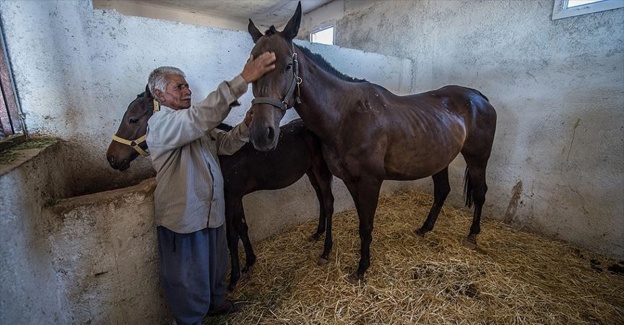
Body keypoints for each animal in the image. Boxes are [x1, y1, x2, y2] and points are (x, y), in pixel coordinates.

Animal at [106, 85, 336, 288]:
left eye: (133, 119)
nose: (112, 158)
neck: (222, 153)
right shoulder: (236, 197)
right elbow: (242, 227)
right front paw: (249, 262)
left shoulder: (231, 196)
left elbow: (232, 235)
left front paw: (234, 278)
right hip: (310, 171)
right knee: (320, 198)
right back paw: (317, 233)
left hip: (320, 169)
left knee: (328, 202)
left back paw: (325, 251)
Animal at [244, 2, 498, 280]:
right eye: (251, 69)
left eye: (289, 66)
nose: (262, 134)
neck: (346, 116)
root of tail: (479, 97)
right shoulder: (350, 180)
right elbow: (361, 220)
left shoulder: (370, 180)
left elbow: (366, 224)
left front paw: (362, 267)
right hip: (440, 159)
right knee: (442, 191)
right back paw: (424, 229)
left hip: (478, 158)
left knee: (481, 192)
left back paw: (472, 235)